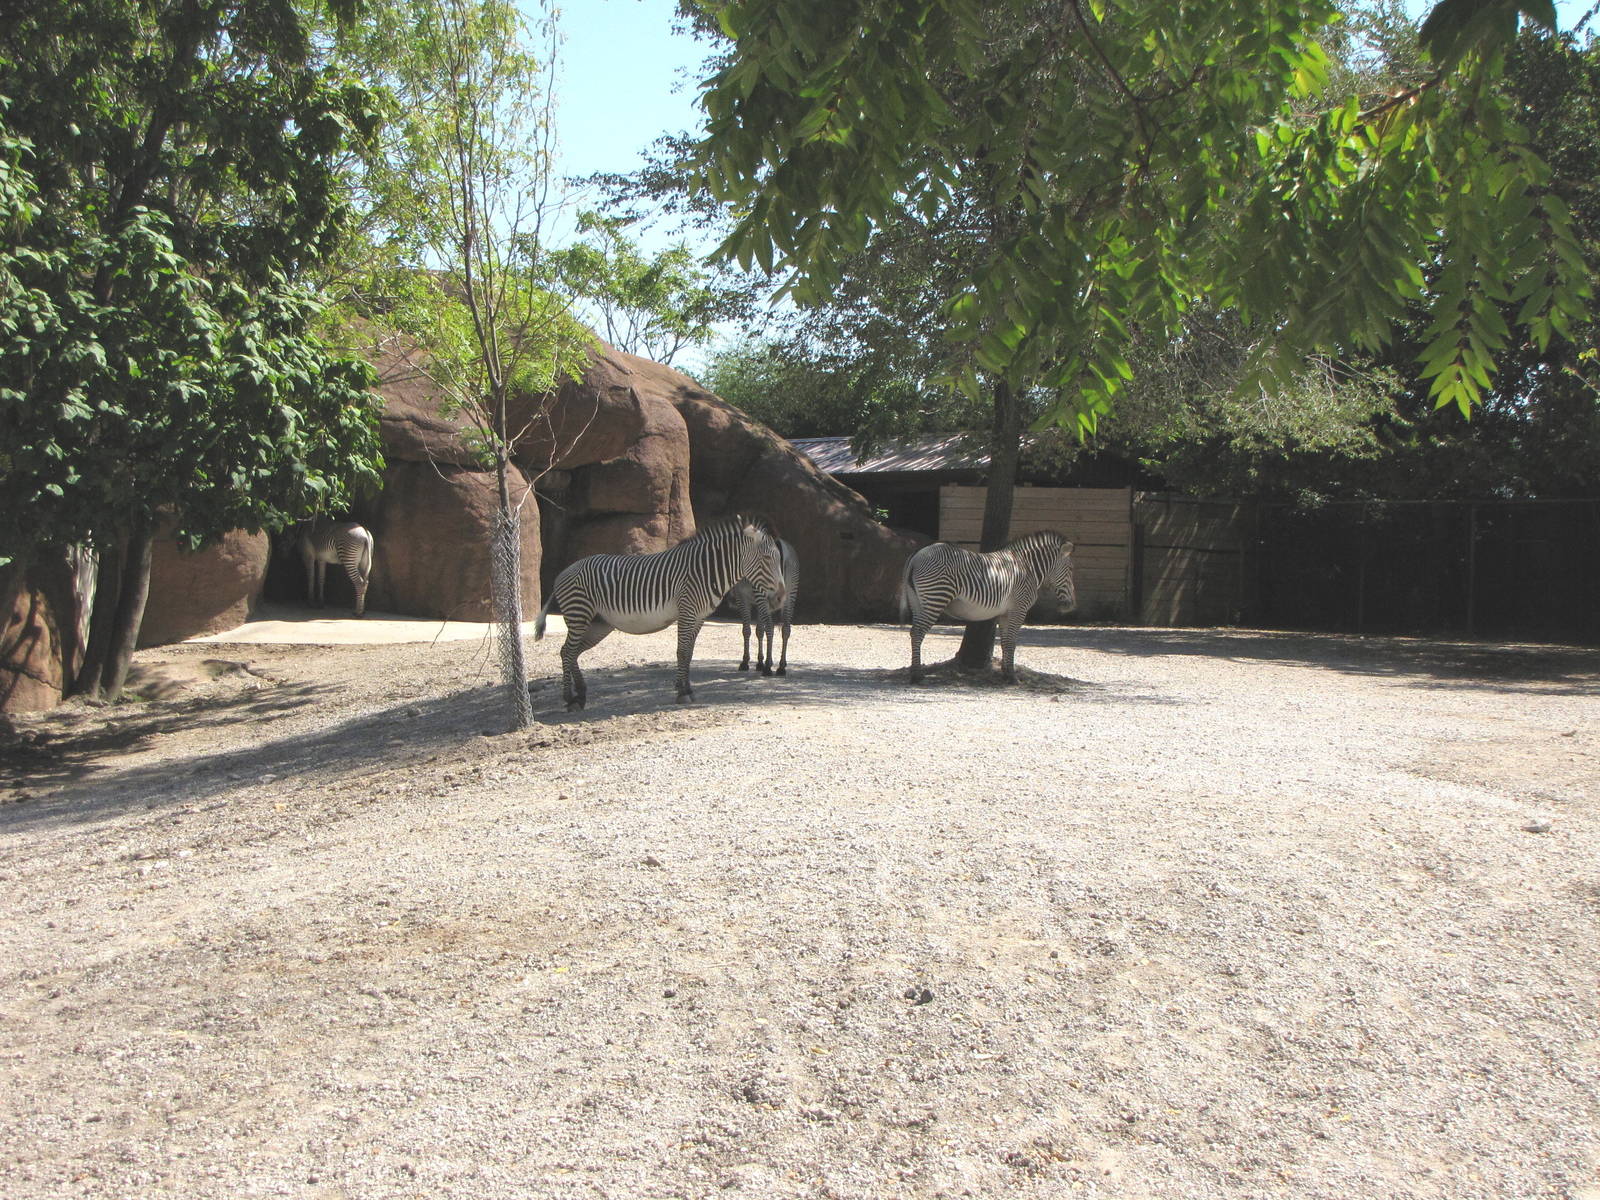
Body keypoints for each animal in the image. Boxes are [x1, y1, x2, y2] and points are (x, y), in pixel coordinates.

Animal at [535, 515, 784, 710]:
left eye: (779, 559)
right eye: (766, 559)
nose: (780, 597)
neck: (707, 572)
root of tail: (563, 573)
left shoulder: (699, 618)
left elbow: (689, 653)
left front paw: (688, 688)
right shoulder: (687, 611)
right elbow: (682, 652)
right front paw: (682, 693)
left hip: (598, 624)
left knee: (572, 652)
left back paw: (581, 694)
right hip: (579, 614)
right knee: (567, 652)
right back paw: (570, 698)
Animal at [729, 537, 799, 676]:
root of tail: (777, 543)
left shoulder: (742, 598)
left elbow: (747, 630)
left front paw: (746, 662)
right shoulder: (764, 601)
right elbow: (759, 630)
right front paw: (760, 662)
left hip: (763, 594)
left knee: (771, 627)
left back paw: (768, 667)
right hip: (790, 594)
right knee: (786, 629)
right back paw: (781, 666)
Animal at [900, 530, 1075, 684]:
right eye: (1070, 569)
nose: (1070, 606)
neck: (1027, 568)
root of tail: (917, 555)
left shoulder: (1005, 613)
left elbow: (1005, 642)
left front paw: (1006, 673)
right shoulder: (1019, 609)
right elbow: (1012, 642)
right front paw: (1012, 677)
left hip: (917, 602)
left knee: (913, 632)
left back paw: (915, 672)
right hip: (936, 597)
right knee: (918, 633)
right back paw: (917, 676)